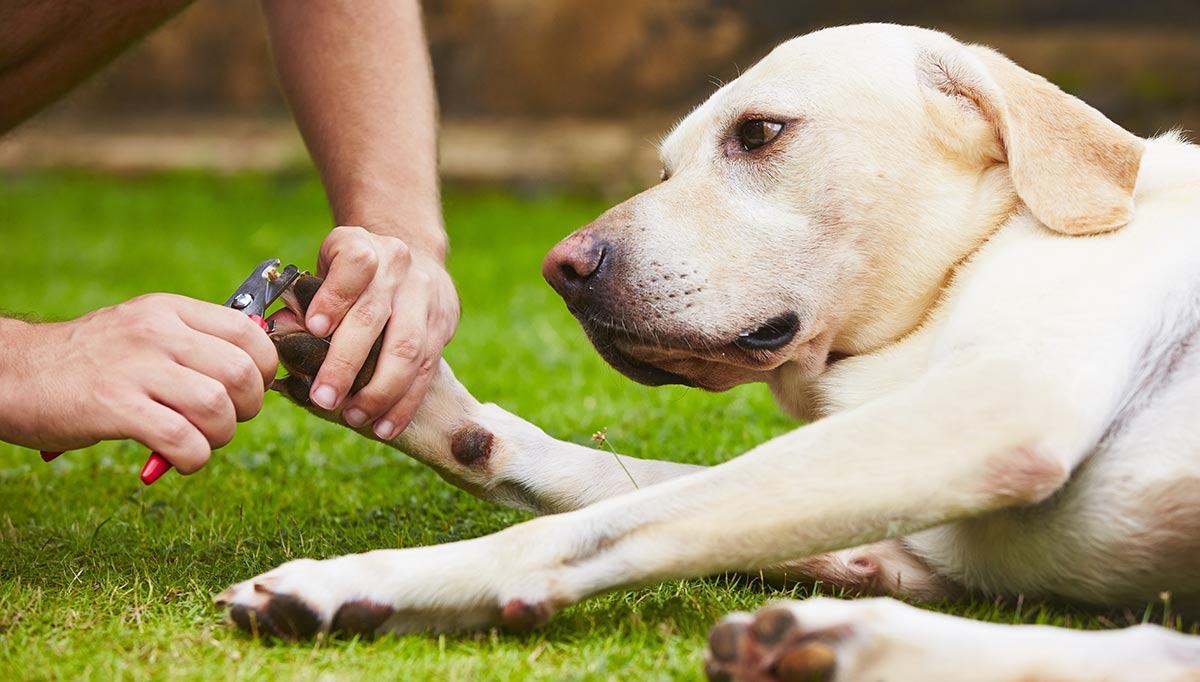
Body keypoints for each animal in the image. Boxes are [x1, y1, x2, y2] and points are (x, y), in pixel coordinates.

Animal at [216, 24, 1200, 677]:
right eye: (663, 169)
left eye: (759, 132)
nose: (562, 269)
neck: (967, 260)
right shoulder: (910, 531)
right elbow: (592, 477)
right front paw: (417, 394)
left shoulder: (1000, 407)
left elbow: (585, 525)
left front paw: (363, 580)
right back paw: (833, 639)